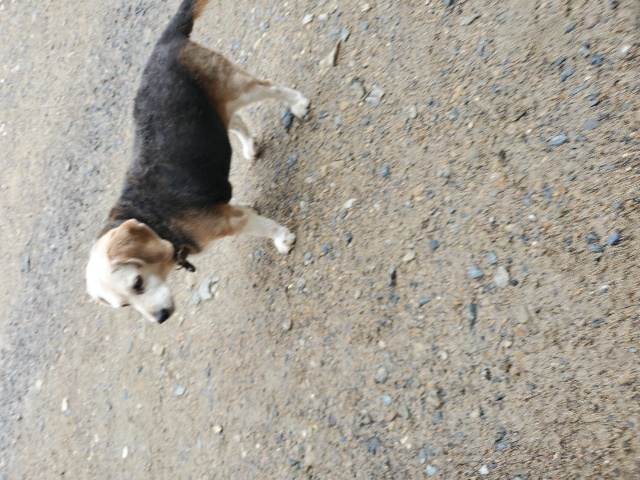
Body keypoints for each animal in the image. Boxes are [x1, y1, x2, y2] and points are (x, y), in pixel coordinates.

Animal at [86, 0, 310, 324]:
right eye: (125, 306)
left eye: (137, 284)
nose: (161, 318)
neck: (153, 222)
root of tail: (164, 42)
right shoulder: (230, 213)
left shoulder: (233, 222)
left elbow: (267, 229)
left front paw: (283, 239)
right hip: (217, 108)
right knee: (236, 121)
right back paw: (250, 147)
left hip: (238, 87)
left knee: (273, 88)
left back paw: (298, 104)